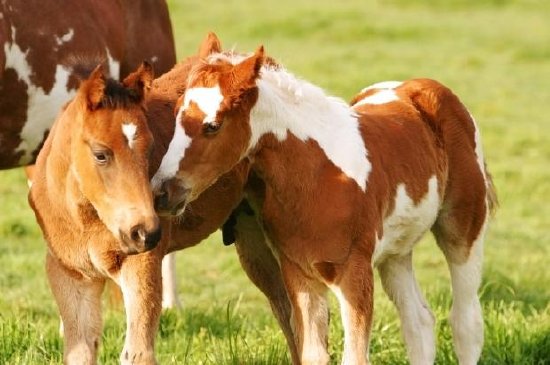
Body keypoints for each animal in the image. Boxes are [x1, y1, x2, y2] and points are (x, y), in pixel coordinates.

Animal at [29, 64, 162, 362]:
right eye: (101, 154)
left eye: (150, 149)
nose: (145, 232)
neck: (85, 223)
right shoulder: (72, 276)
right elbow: (79, 351)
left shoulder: (141, 264)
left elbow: (138, 353)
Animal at [153, 44, 498, 362]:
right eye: (177, 116)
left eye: (212, 125)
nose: (161, 192)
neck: (318, 176)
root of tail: (427, 87)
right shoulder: (300, 275)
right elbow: (313, 354)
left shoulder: (354, 275)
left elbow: (354, 357)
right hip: (396, 252)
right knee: (419, 323)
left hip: (463, 229)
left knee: (466, 323)